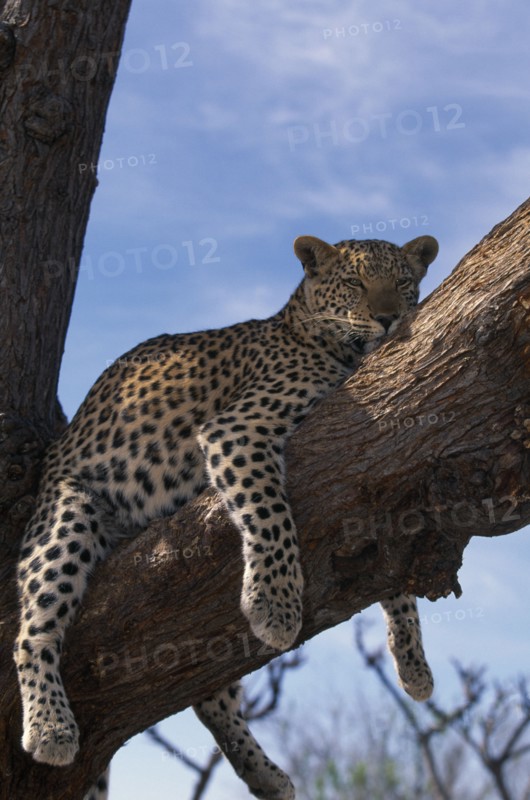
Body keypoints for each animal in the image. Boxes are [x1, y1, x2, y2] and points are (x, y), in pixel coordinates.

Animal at [14, 233, 439, 800]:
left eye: (404, 282)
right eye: (355, 282)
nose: (390, 318)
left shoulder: (377, 474)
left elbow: (396, 580)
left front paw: (413, 663)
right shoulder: (237, 429)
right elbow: (272, 513)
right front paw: (274, 605)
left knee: (210, 699)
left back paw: (265, 774)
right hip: (66, 518)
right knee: (32, 631)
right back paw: (51, 727)